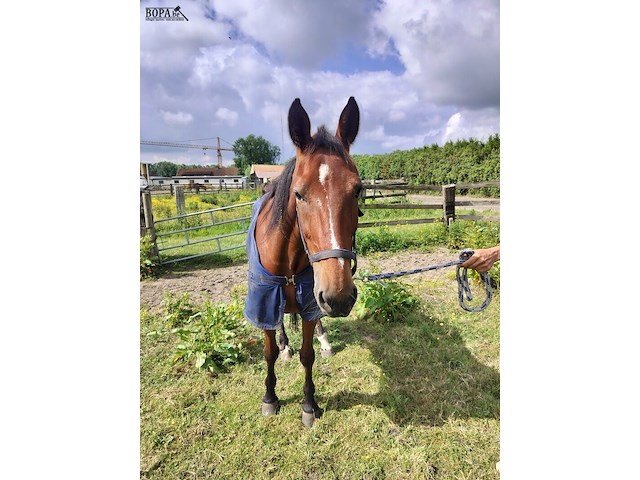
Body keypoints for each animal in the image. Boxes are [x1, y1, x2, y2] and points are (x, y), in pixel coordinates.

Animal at [244, 97, 362, 427]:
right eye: (298, 194)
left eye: (358, 190)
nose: (339, 297)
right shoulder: (264, 299)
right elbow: (269, 351)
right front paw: (270, 397)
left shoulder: (311, 300)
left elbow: (307, 355)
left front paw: (309, 405)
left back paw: (325, 340)